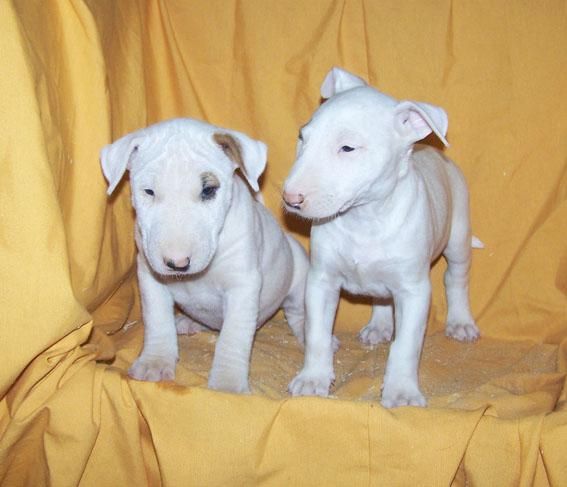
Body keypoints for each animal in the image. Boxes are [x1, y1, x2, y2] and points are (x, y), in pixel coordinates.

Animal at [100, 119, 312, 396]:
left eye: (209, 190)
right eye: (148, 191)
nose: (177, 264)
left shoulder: (242, 285)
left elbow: (233, 337)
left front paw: (227, 384)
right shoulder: (150, 277)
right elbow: (157, 320)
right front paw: (154, 363)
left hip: (298, 277)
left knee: (298, 313)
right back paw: (189, 322)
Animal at [284, 66, 484, 408]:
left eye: (347, 148)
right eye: (302, 137)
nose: (290, 199)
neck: (364, 218)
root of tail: (433, 151)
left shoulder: (415, 291)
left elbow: (405, 346)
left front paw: (402, 392)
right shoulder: (321, 280)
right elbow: (317, 335)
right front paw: (313, 379)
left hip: (458, 232)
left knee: (456, 278)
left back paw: (460, 322)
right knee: (381, 295)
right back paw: (378, 326)